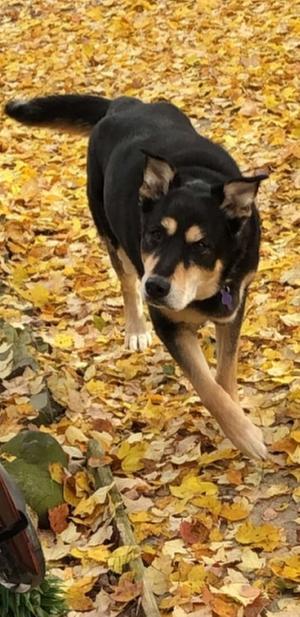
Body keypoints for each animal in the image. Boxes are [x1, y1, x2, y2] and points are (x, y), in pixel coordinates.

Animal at [4, 92, 268, 458]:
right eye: (155, 234)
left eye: (201, 245)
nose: (156, 287)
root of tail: (123, 104)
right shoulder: (167, 322)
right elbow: (206, 386)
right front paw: (245, 435)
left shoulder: (234, 306)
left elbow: (224, 374)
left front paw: (236, 423)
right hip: (111, 236)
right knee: (127, 284)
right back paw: (136, 330)